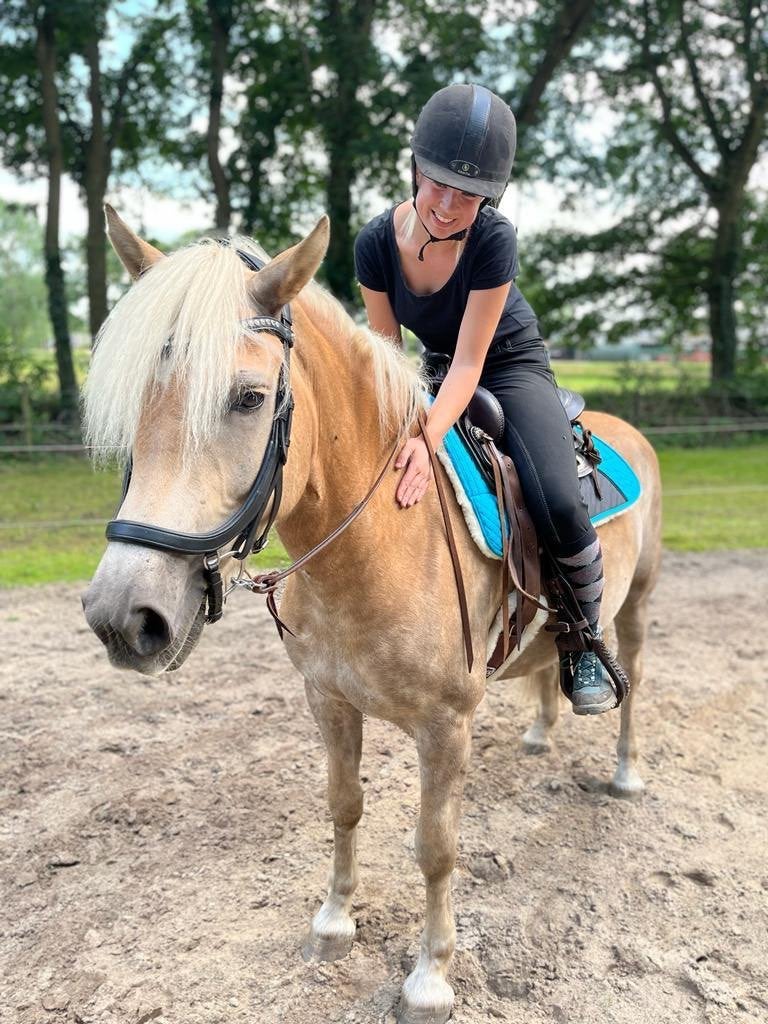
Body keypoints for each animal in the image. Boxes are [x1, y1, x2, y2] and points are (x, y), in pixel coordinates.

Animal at [82, 207, 662, 1024]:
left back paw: (625, 772)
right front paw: (333, 922)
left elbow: (436, 846)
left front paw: (430, 977)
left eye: (248, 398)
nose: (122, 616)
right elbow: (344, 805)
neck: (374, 546)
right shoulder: (327, 700)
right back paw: (543, 731)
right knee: (550, 661)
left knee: (632, 682)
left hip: (636, 605)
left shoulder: (447, 726)